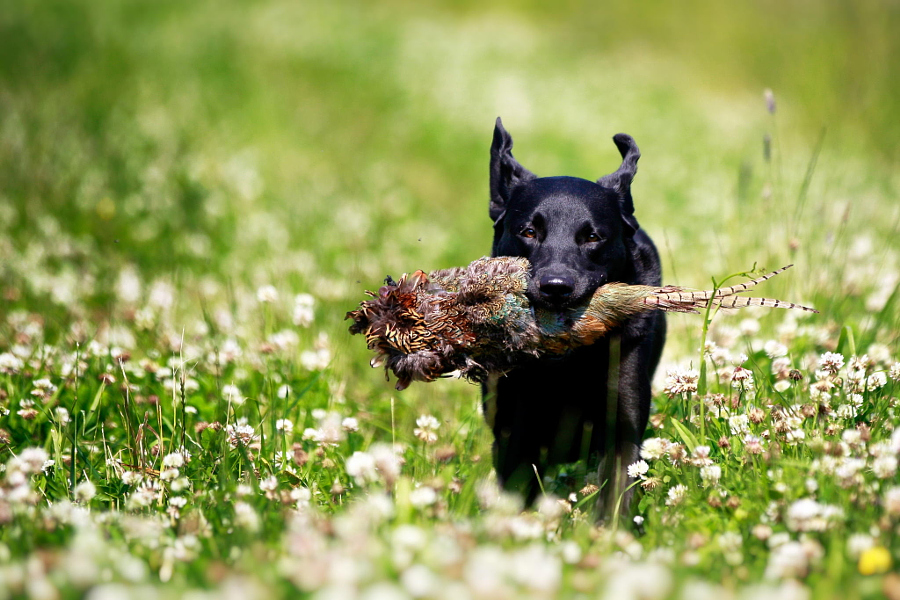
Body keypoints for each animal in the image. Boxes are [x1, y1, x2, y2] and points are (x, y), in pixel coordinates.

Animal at [482, 118, 664, 520]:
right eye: (529, 232)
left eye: (593, 236)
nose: (555, 287)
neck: (566, 364)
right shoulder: (516, 430)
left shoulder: (622, 428)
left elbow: (616, 498)